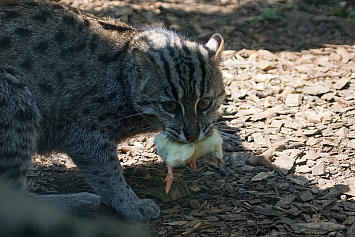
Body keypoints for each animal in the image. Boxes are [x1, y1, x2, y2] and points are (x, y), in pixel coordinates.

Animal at [0, 0, 225, 222]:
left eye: (204, 103)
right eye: (169, 106)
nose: (193, 134)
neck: (124, 77)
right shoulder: (82, 132)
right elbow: (107, 171)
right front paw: (130, 204)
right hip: (16, 101)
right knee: (15, 200)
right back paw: (74, 203)